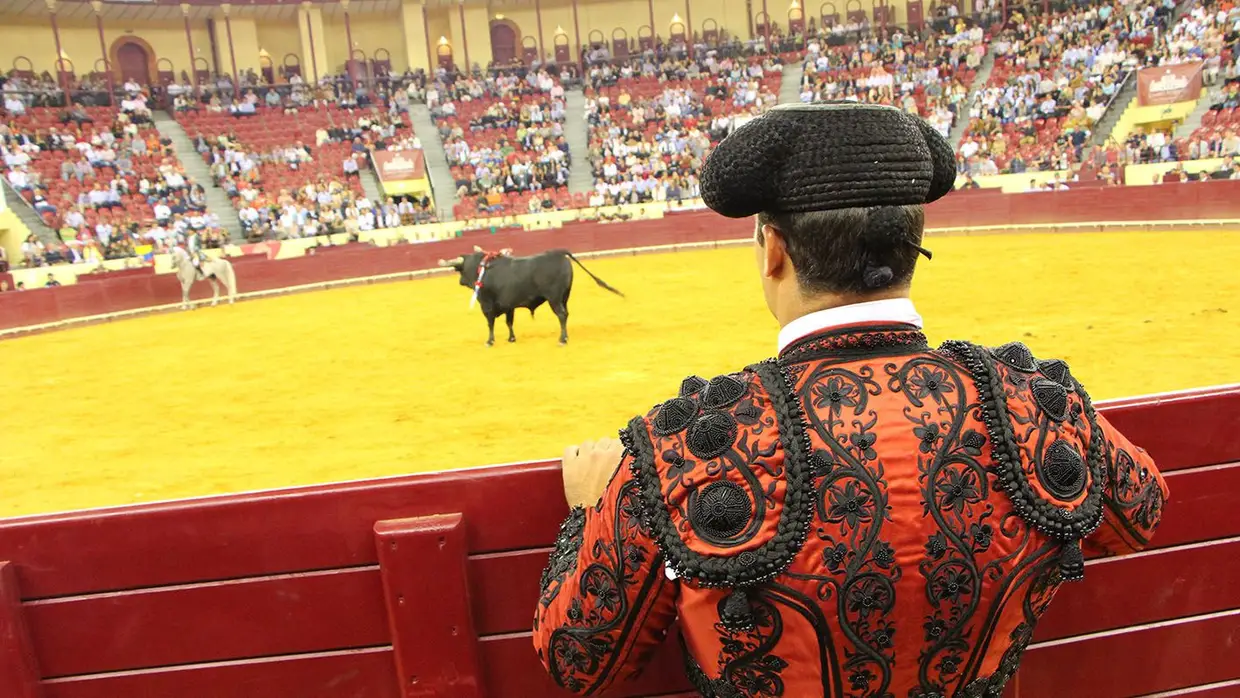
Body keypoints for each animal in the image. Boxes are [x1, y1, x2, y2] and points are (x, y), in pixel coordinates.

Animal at [441, 250, 624, 344]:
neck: (482, 269)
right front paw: (511, 338)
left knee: (561, 314)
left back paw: (562, 339)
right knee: (566, 314)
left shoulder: (486, 305)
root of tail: (559, 253)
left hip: (554, 298)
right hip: (565, 297)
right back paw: (565, 336)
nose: (460, 281)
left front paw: (490, 341)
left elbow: (490, 323)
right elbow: (509, 322)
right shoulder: (509, 306)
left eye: (460, 270)